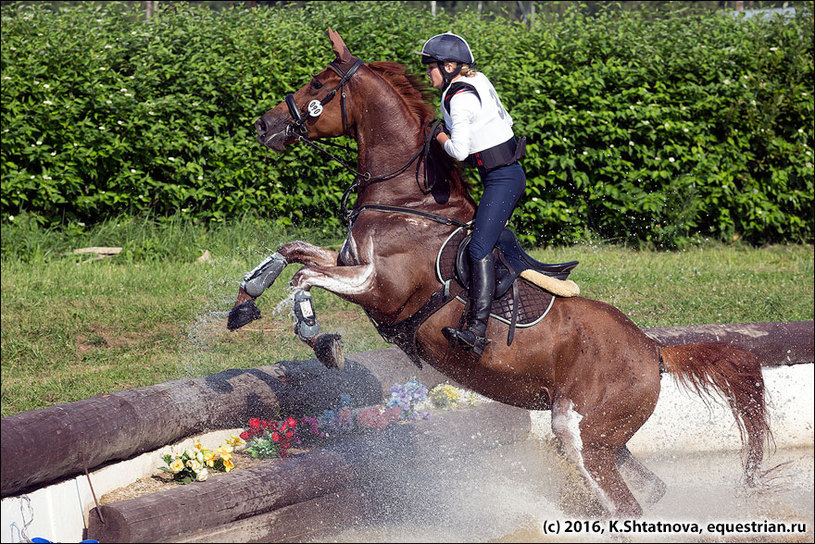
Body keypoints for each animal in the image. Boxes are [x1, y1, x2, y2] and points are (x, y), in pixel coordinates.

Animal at [233, 28, 776, 520]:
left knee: (627, 505)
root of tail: (655, 351)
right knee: (649, 488)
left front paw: (320, 339)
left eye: (317, 83)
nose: (262, 125)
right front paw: (245, 302)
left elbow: (305, 280)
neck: (407, 201)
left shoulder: (380, 289)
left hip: (582, 436)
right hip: (605, 439)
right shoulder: (350, 265)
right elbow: (291, 252)